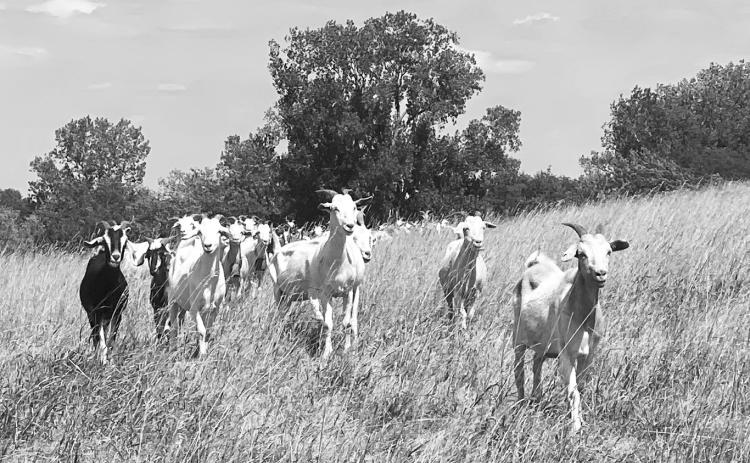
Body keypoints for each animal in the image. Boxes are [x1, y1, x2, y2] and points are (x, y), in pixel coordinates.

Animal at [79, 220, 131, 364]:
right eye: (105, 240)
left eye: (125, 242)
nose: (115, 257)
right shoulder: (95, 312)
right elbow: (101, 340)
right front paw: (103, 361)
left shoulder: (117, 314)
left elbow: (111, 341)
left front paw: (111, 362)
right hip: (93, 315)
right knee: (96, 336)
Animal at [512, 223, 629, 435]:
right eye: (581, 254)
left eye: (608, 251)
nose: (601, 273)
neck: (583, 315)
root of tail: (534, 264)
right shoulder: (567, 354)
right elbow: (573, 391)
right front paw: (575, 428)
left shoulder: (589, 355)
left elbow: (580, 388)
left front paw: (579, 420)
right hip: (517, 338)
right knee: (519, 370)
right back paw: (521, 402)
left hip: (542, 345)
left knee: (536, 365)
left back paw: (537, 399)